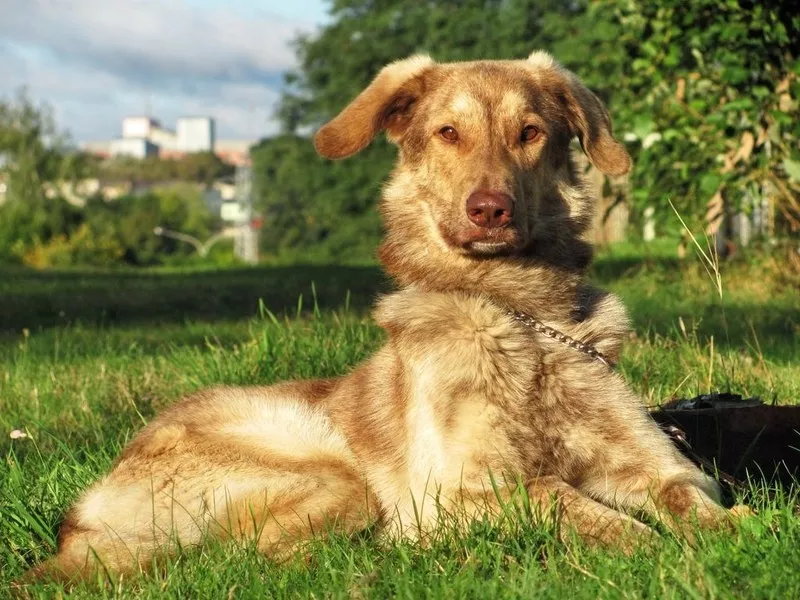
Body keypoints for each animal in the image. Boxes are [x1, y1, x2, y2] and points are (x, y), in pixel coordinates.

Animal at [20, 51, 744, 584]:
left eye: (531, 132)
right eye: (448, 133)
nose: (489, 209)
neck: (519, 317)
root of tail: (80, 518)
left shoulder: (656, 464)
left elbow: (692, 499)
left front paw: (738, 535)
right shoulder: (459, 489)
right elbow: (563, 498)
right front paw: (647, 544)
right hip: (335, 476)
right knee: (249, 559)